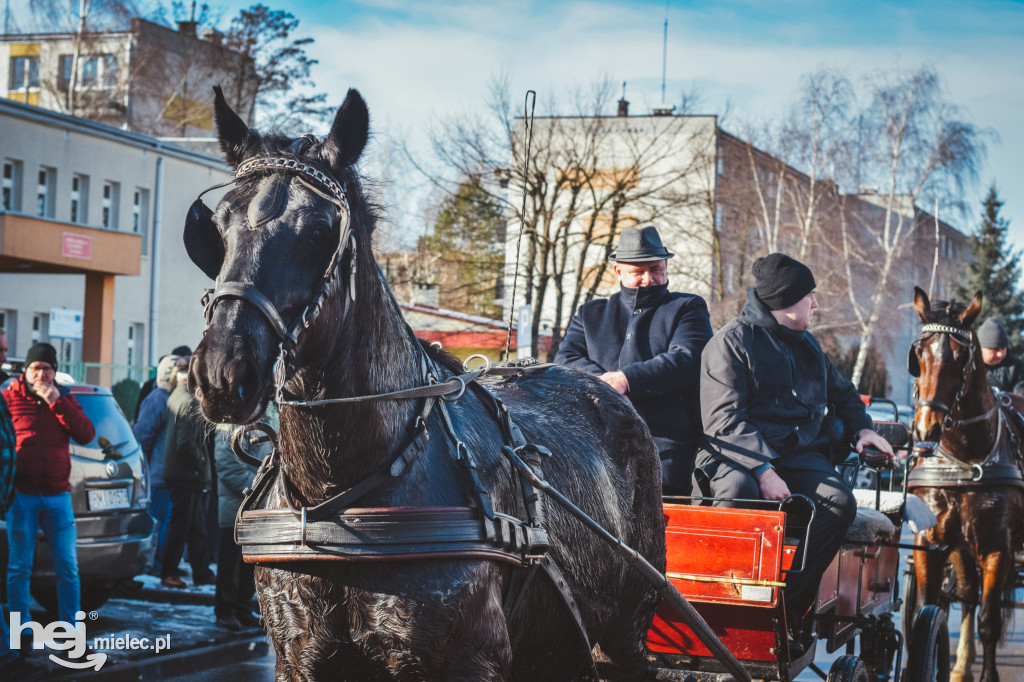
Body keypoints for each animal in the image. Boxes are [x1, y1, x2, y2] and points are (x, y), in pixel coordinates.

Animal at [184, 86, 663, 679]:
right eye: (216, 229)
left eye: (319, 231)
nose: (221, 372)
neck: (341, 503)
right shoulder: (299, 658)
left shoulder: (466, 660)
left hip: (626, 635)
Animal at [913, 284, 1024, 675]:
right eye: (918, 352)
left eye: (962, 358)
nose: (925, 429)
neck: (963, 460)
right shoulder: (931, 540)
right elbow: (929, 607)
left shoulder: (998, 546)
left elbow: (989, 621)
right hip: (961, 546)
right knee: (966, 593)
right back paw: (962, 662)